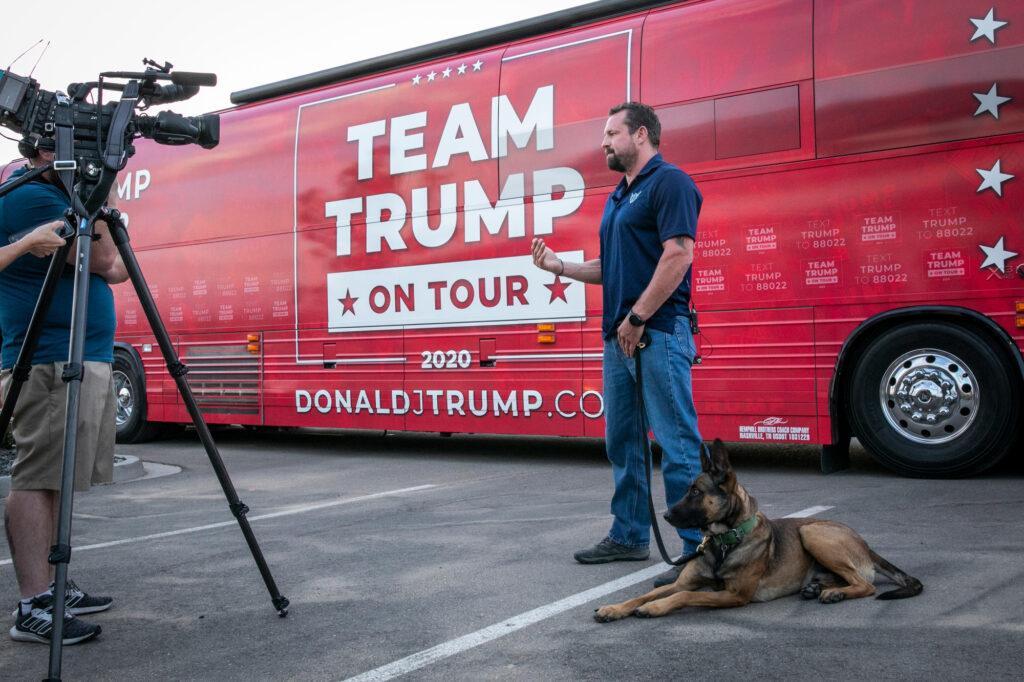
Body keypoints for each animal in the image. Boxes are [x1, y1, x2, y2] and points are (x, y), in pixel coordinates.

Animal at [593, 436, 921, 622]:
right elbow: (643, 596)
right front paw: (614, 608)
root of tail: (865, 545)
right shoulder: (684, 583)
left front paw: (655, 608)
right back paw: (820, 588)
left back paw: (832, 594)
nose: (664, 515)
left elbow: (681, 597)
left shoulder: (734, 596)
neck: (723, 542)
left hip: (812, 532)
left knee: (865, 584)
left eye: (696, 492)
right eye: (688, 490)